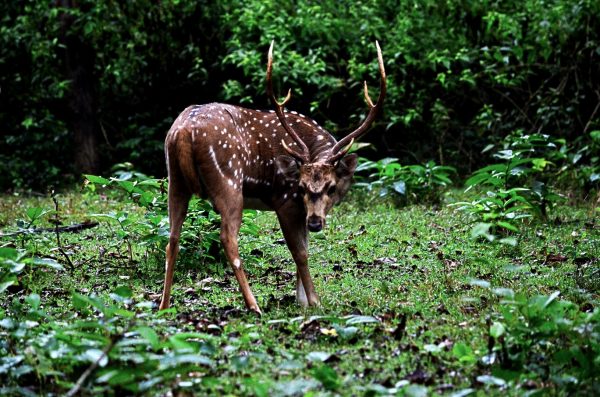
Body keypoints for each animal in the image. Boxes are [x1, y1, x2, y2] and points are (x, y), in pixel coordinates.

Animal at [159, 41, 384, 314]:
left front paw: (302, 300)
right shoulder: (285, 200)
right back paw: (253, 305)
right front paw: (314, 301)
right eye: (301, 186)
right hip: (229, 180)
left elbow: (305, 247)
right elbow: (300, 252)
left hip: (175, 180)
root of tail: (182, 132)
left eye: (330, 187)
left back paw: (164, 307)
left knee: (172, 239)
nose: (316, 223)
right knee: (227, 238)